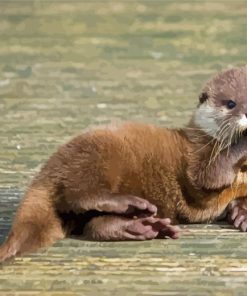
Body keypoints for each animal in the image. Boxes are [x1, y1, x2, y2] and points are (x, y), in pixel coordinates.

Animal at [0, 66, 247, 262]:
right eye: (231, 103)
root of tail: (50, 168)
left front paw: (241, 214)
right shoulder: (198, 156)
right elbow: (212, 174)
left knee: (93, 224)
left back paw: (144, 227)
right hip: (97, 158)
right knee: (81, 194)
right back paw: (130, 205)